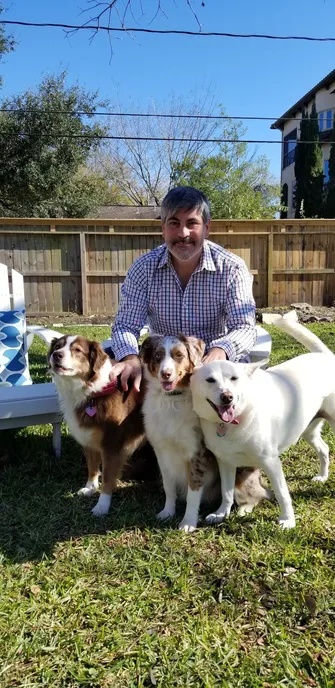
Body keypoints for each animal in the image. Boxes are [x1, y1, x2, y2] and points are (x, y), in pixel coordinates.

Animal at [192, 312, 335, 532]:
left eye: (234, 378)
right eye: (210, 380)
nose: (227, 397)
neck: (239, 418)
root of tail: (324, 356)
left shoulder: (271, 462)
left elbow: (282, 494)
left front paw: (288, 521)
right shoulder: (225, 462)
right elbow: (226, 491)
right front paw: (221, 513)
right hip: (307, 430)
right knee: (324, 448)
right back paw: (322, 477)